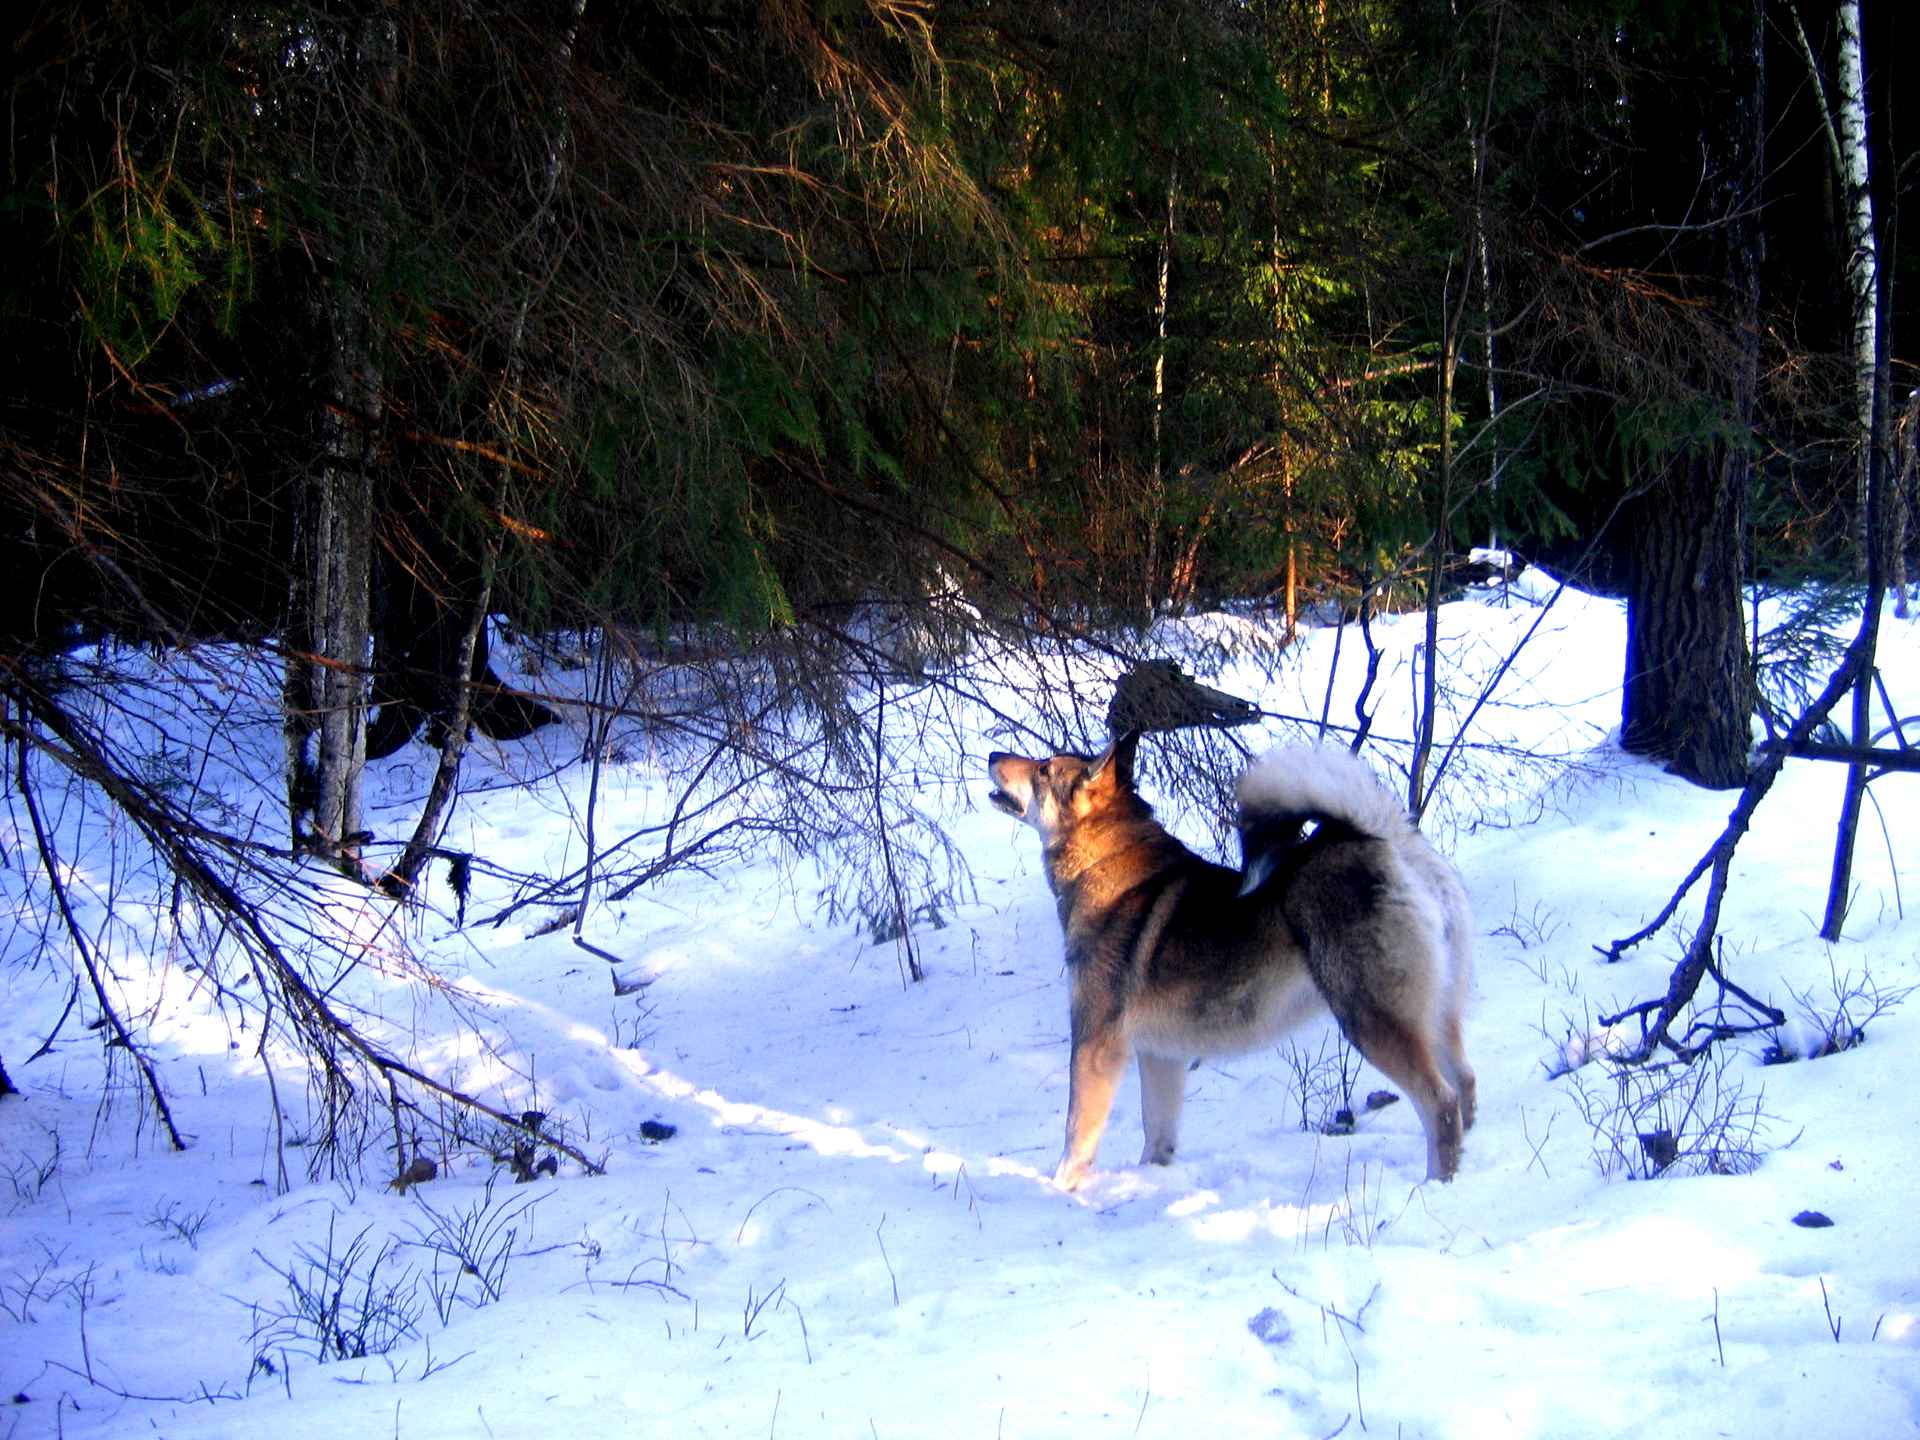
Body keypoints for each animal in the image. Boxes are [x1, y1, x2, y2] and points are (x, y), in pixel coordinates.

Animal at [983, 737, 1474, 1190]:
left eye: (1043, 769)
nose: (992, 753)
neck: (1102, 863)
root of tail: (1384, 841)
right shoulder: (1161, 1054)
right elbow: (1157, 1133)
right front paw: (1151, 1178)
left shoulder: (1095, 1041)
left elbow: (1077, 1131)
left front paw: (1061, 1189)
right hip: (1436, 1017)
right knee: (1465, 1085)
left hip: (1371, 1020)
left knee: (1441, 1102)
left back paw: (1436, 1183)